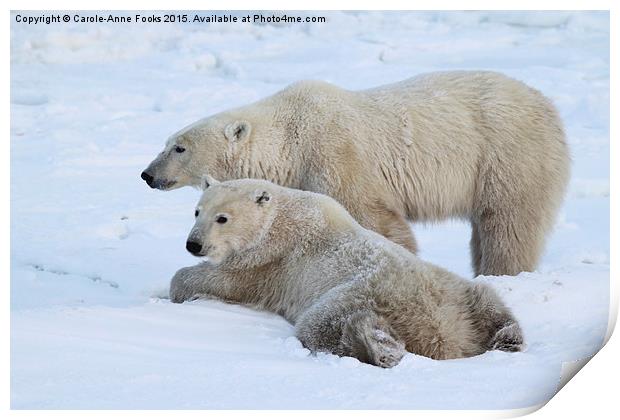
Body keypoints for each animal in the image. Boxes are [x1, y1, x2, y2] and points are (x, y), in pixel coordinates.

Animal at [143, 71, 568, 278]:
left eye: (179, 147)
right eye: (167, 142)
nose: (147, 174)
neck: (291, 136)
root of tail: (548, 106)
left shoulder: (334, 154)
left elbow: (373, 218)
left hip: (507, 154)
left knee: (508, 222)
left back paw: (501, 274)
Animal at [170, 177, 524, 368]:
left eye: (222, 218)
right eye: (197, 211)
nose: (193, 244)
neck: (282, 216)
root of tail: (443, 333)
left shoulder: (270, 261)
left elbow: (227, 280)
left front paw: (180, 288)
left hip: (358, 291)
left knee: (321, 324)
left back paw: (376, 345)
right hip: (456, 290)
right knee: (489, 300)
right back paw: (508, 338)